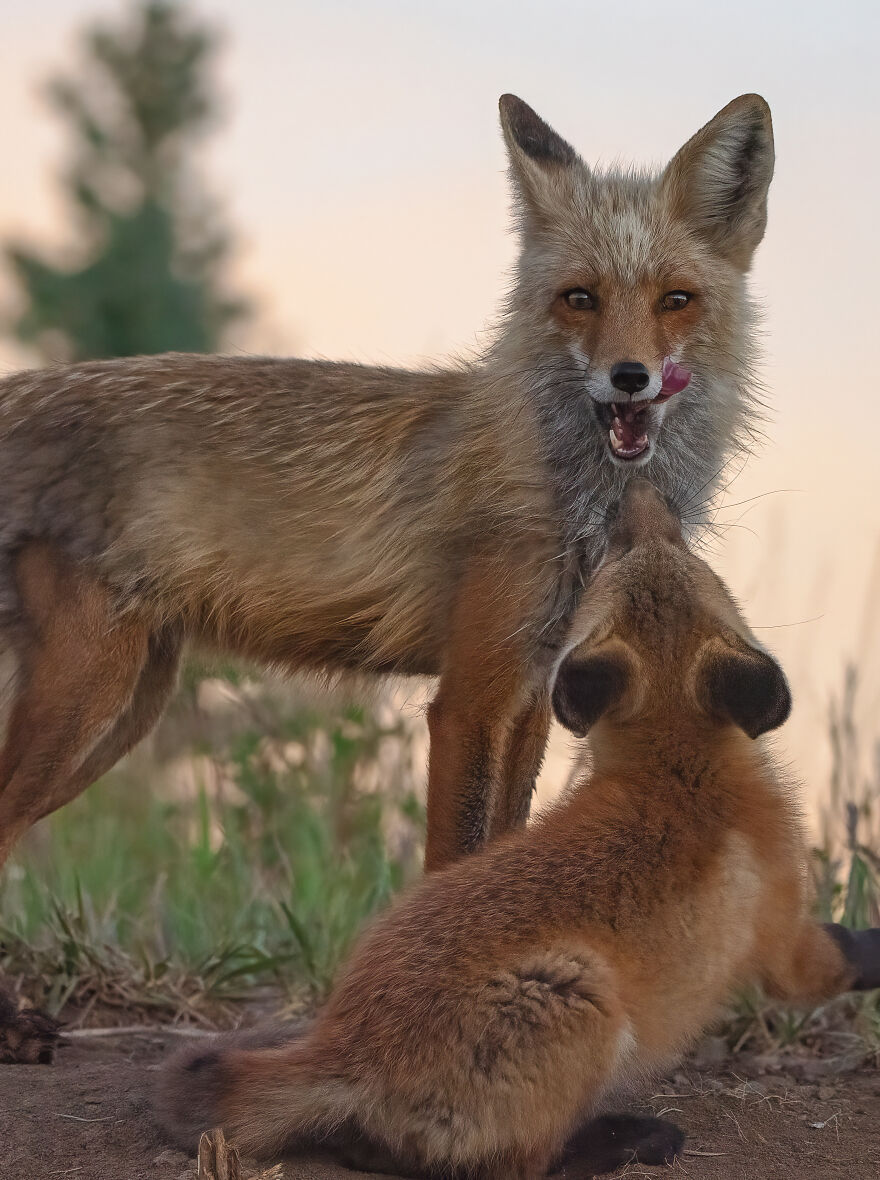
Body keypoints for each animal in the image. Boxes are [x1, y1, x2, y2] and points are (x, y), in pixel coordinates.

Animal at [0, 93, 773, 879]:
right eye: (579, 298)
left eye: (675, 299)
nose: (629, 377)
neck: (574, 502)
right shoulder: (470, 698)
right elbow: (453, 856)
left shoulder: (534, 692)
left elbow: (502, 842)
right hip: (90, 694)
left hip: (130, 707)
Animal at [156, 478, 880, 1179]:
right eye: (638, 553)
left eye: (664, 550)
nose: (636, 492)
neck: (676, 765)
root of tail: (339, 1048)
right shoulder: (784, 933)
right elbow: (834, 962)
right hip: (577, 1000)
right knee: (521, 1163)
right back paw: (625, 1139)